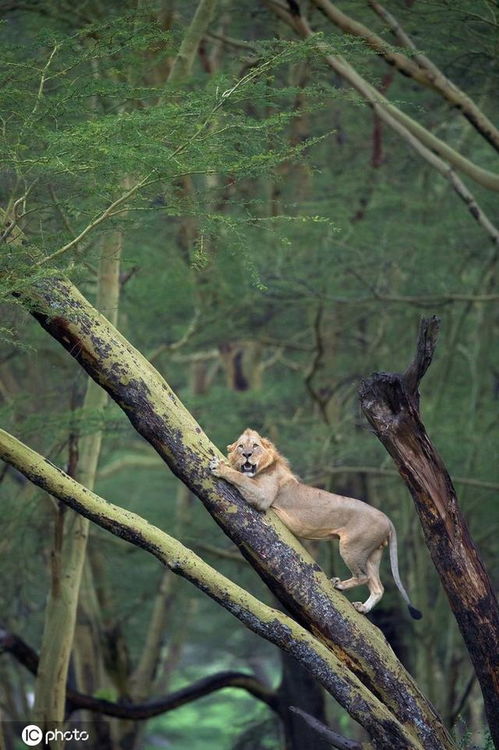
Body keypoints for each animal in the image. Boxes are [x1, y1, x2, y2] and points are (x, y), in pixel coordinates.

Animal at [210, 432, 422, 620]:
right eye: (241, 446)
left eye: (254, 446)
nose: (247, 454)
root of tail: (387, 519)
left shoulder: (263, 496)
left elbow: (240, 477)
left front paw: (220, 467)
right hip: (372, 554)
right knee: (378, 587)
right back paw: (363, 608)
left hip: (352, 546)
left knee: (364, 577)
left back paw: (339, 585)